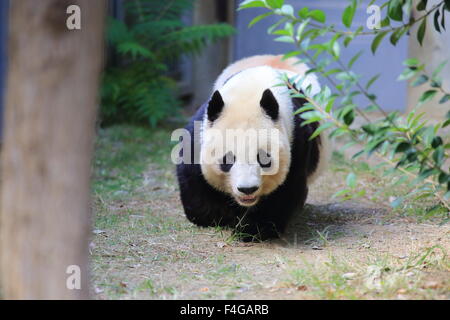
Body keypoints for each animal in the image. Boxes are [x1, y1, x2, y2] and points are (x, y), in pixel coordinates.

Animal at [175, 55, 326, 241]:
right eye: (227, 159)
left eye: (264, 159)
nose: (247, 189)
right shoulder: (201, 129)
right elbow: (193, 176)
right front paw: (222, 216)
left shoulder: (296, 139)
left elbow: (285, 190)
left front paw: (252, 230)